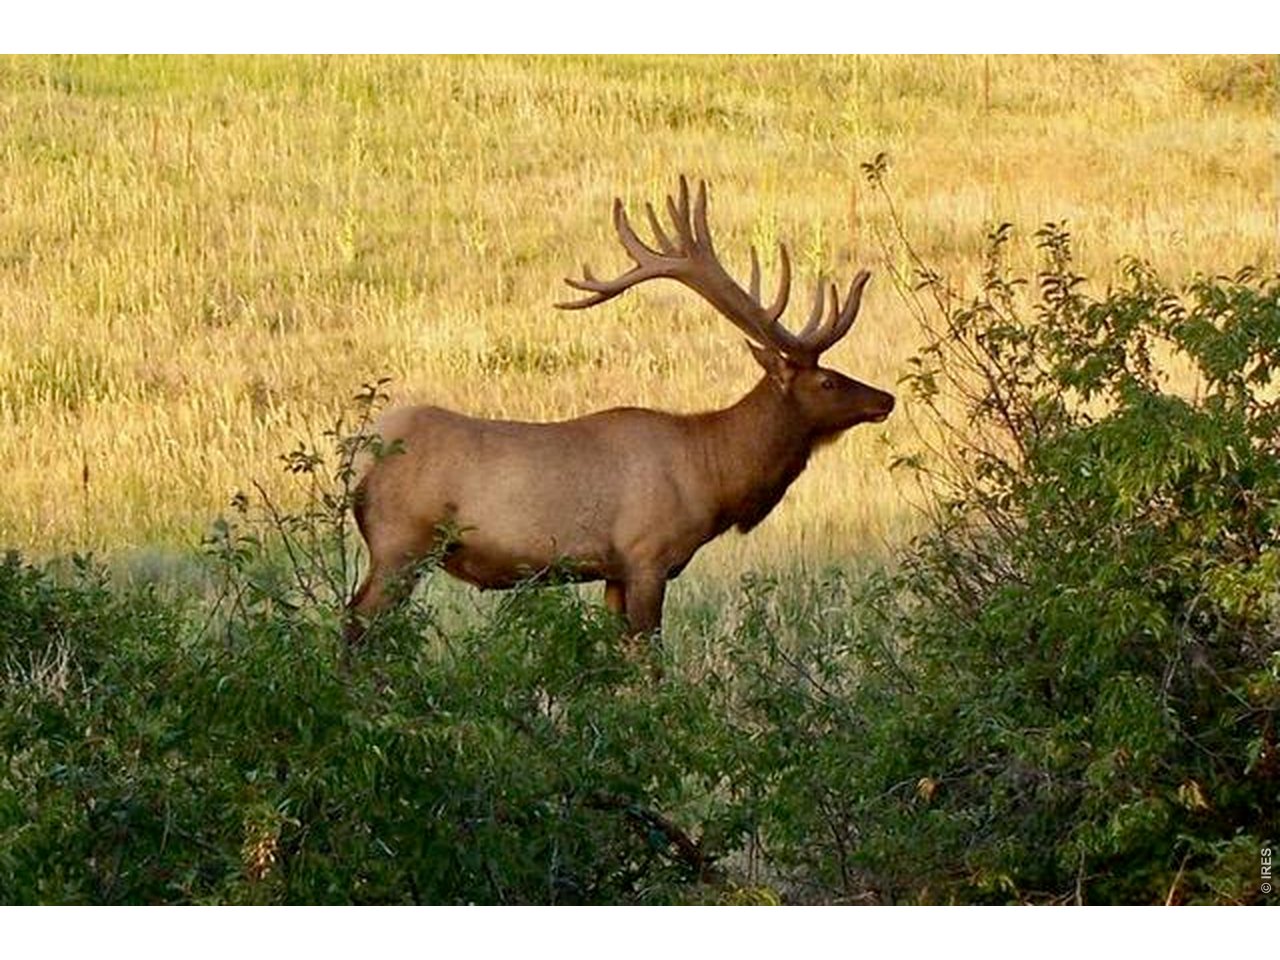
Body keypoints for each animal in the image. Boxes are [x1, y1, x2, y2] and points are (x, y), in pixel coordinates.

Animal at [345, 176, 895, 648]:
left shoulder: (612, 571)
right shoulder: (647, 554)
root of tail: (362, 456)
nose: (885, 399)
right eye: (827, 381)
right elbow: (649, 660)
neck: (714, 475)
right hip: (401, 545)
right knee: (355, 625)